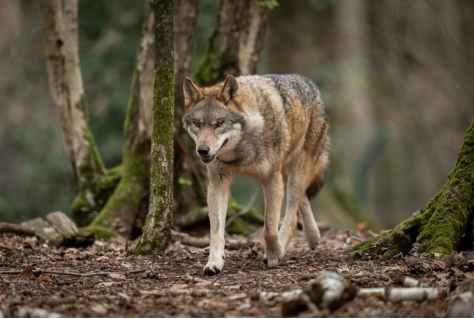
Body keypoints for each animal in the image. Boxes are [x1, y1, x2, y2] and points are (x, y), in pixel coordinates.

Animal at [181, 74, 330, 276]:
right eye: (198, 124)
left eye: (219, 123)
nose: (202, 150)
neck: (241, 155)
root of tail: (308, 82)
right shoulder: (217, 183)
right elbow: (216, 231)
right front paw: (214, 263)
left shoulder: (271, 180)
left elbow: (269, 228)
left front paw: (274, 255)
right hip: (286, 172)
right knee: (302, 200)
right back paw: (313, 236)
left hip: (297, 170)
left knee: (292, 216)